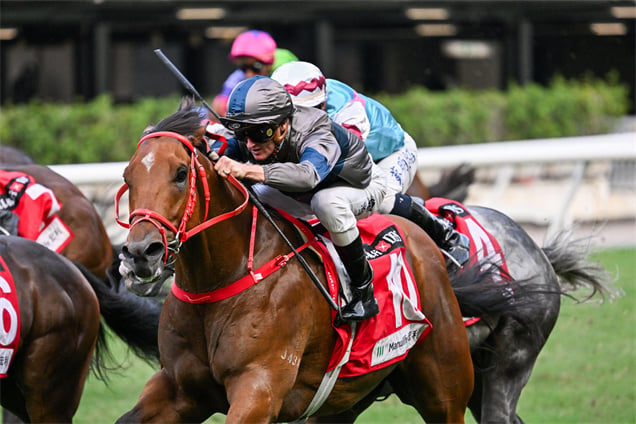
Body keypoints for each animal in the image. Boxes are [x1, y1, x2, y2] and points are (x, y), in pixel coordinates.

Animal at [113, 107, 536, 422]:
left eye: (181, 173)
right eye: (128, 175)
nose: (140, 252)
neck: (222, 280)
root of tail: (427, 247)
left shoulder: (259, 389)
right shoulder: (178, 389)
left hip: (445, 388)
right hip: (345, 399)